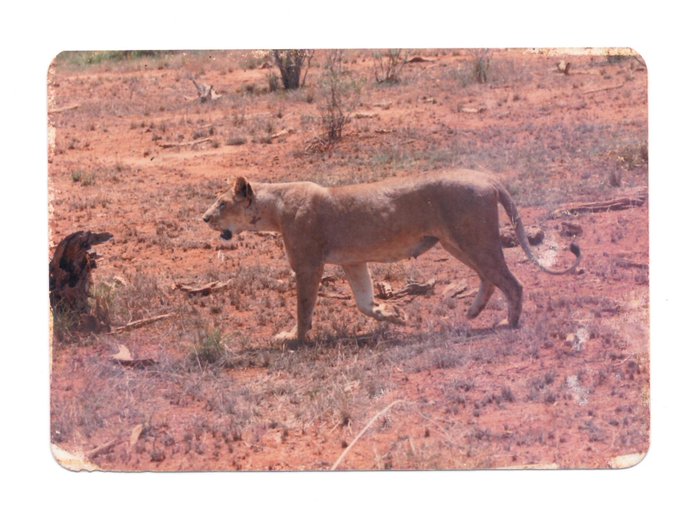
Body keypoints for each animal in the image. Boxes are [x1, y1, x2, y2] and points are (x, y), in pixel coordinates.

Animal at [202, 169, 581, 341]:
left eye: (221, 203)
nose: (204, 218)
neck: (275, 207)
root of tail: (485, 176)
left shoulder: (308, 264)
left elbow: (303, 308)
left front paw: (293, 338)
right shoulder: (353, 261)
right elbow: (363, 302)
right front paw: (395, 314)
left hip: (473, 239)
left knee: (511, 282)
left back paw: (507, 324)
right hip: (455, 243)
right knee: (489, 278)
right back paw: (473, 314)